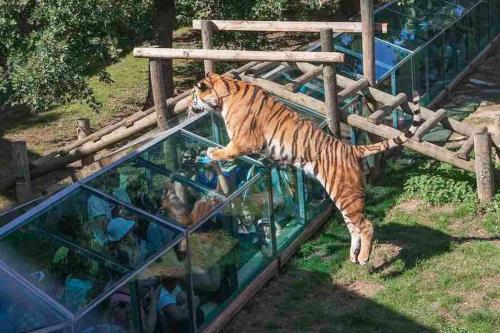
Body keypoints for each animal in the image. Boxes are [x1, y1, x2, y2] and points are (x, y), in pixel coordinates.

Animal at [188, 72, 422, 264]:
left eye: (193, 95)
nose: (190, 107)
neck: (226, 91)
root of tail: (350, 149)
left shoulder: (244, 140)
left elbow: (227, 151)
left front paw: (211, 152)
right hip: (347, 198)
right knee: (354, 226)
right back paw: (353, 256)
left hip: (345, 192)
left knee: (365, 226)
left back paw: (364, 258)